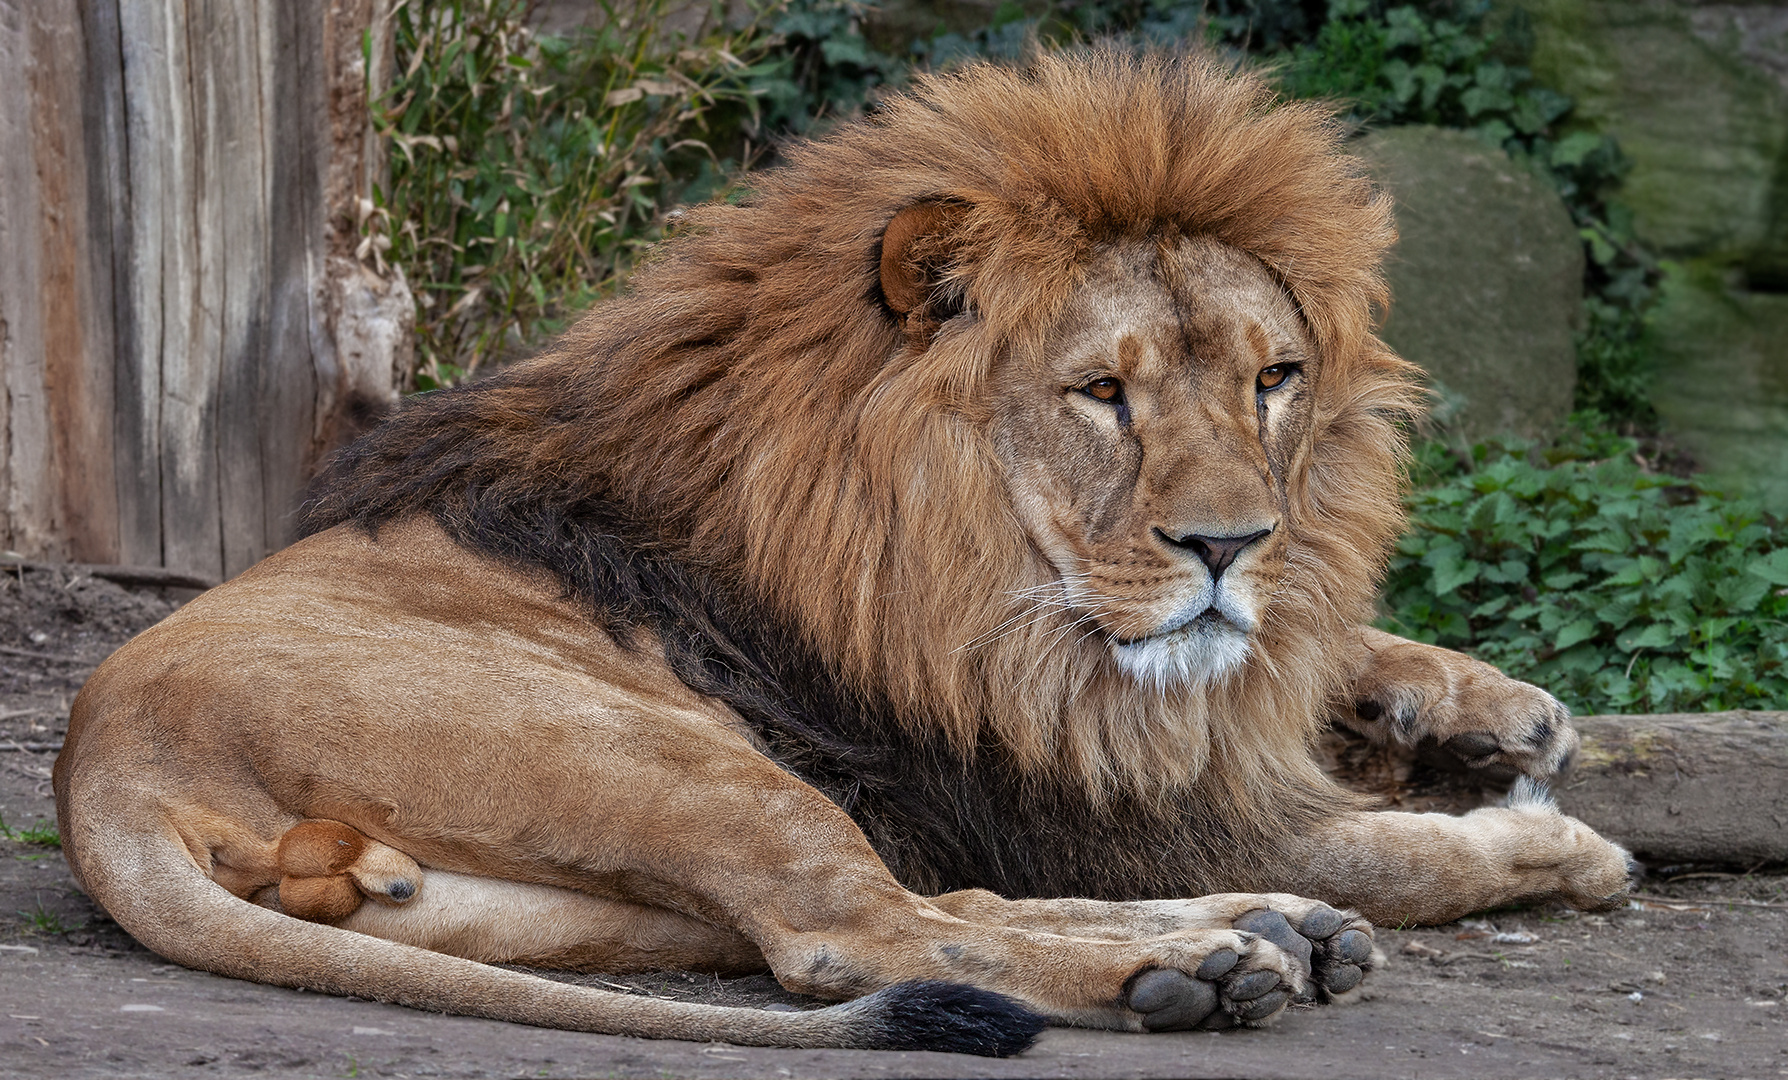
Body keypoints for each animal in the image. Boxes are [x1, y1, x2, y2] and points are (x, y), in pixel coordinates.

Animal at [52, 50, 1637, 1051]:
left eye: (1274, 379)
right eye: (1103, 392)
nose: (1232, 543)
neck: (987, 590)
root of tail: (97, 769)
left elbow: (1301, 664)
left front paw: (1486, 714)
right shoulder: (1080, 788)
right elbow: (1397, 852)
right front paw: (1544, 839)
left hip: (555, 912)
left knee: (923, 904)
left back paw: (1271, 930)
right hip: (663, 757)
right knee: (862, 932)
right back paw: (1196, 962)